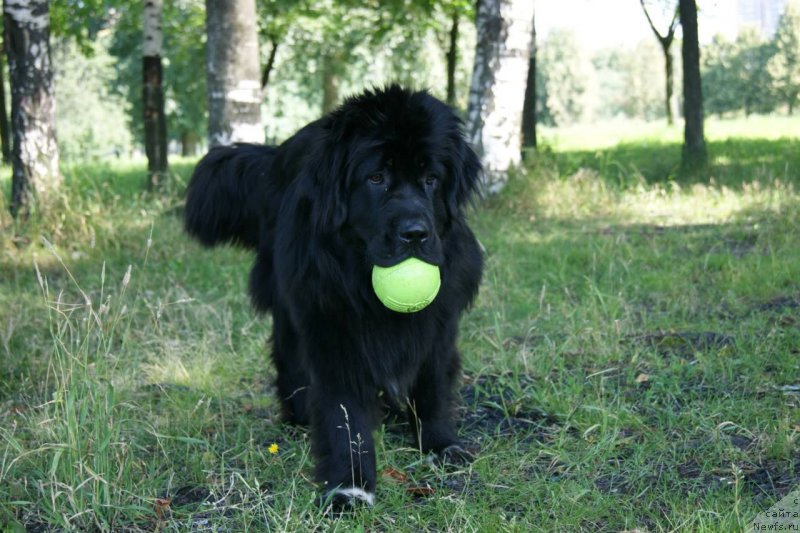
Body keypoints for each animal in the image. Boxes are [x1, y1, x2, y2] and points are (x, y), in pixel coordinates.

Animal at [185, 84, 484, 508]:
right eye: (375, 177)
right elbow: (344, 414)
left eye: (431, 178)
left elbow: (433, 386)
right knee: (290, 359)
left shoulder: (438, 325)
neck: (360, 275)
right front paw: (350, 483)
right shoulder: (331, 327)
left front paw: (441, 443)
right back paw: (298, 414)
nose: (415, 233)